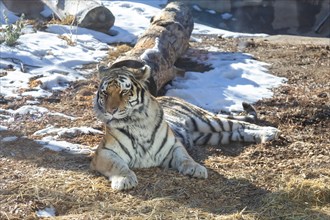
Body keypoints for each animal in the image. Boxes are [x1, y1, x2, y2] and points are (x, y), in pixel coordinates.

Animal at [91, 64, 280, 190]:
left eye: (124, 91)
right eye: (105, 93)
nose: (111, 111)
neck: (137, 122)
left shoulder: (173, 146)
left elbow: (185, 158)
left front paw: (196, 169)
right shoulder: (104, 152)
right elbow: (118, 165)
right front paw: (125, 179)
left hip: (206, 121)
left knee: (242, 123)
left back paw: (271, 131)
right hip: (211, 135)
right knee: (237, 131)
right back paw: (266, 136)